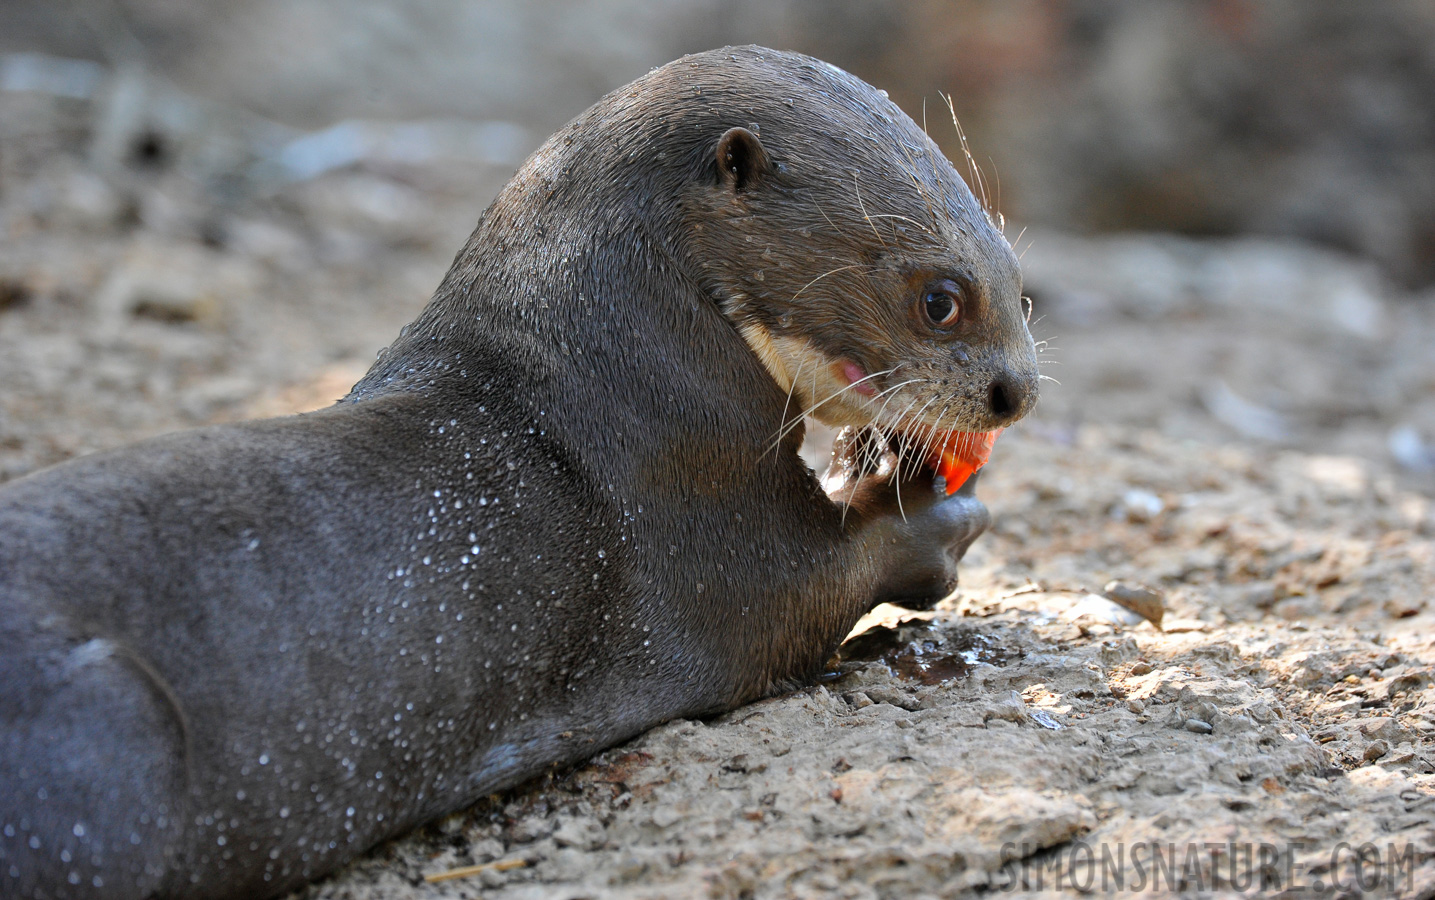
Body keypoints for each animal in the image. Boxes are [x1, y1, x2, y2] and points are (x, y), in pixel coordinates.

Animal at [0, 45, 1033, 895]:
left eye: (1021, 287)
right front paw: (931, 514)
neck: (606, 376)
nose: (1015, 390)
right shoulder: (695, 524)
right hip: (108, 735)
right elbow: (810, 593)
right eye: (940, 299)